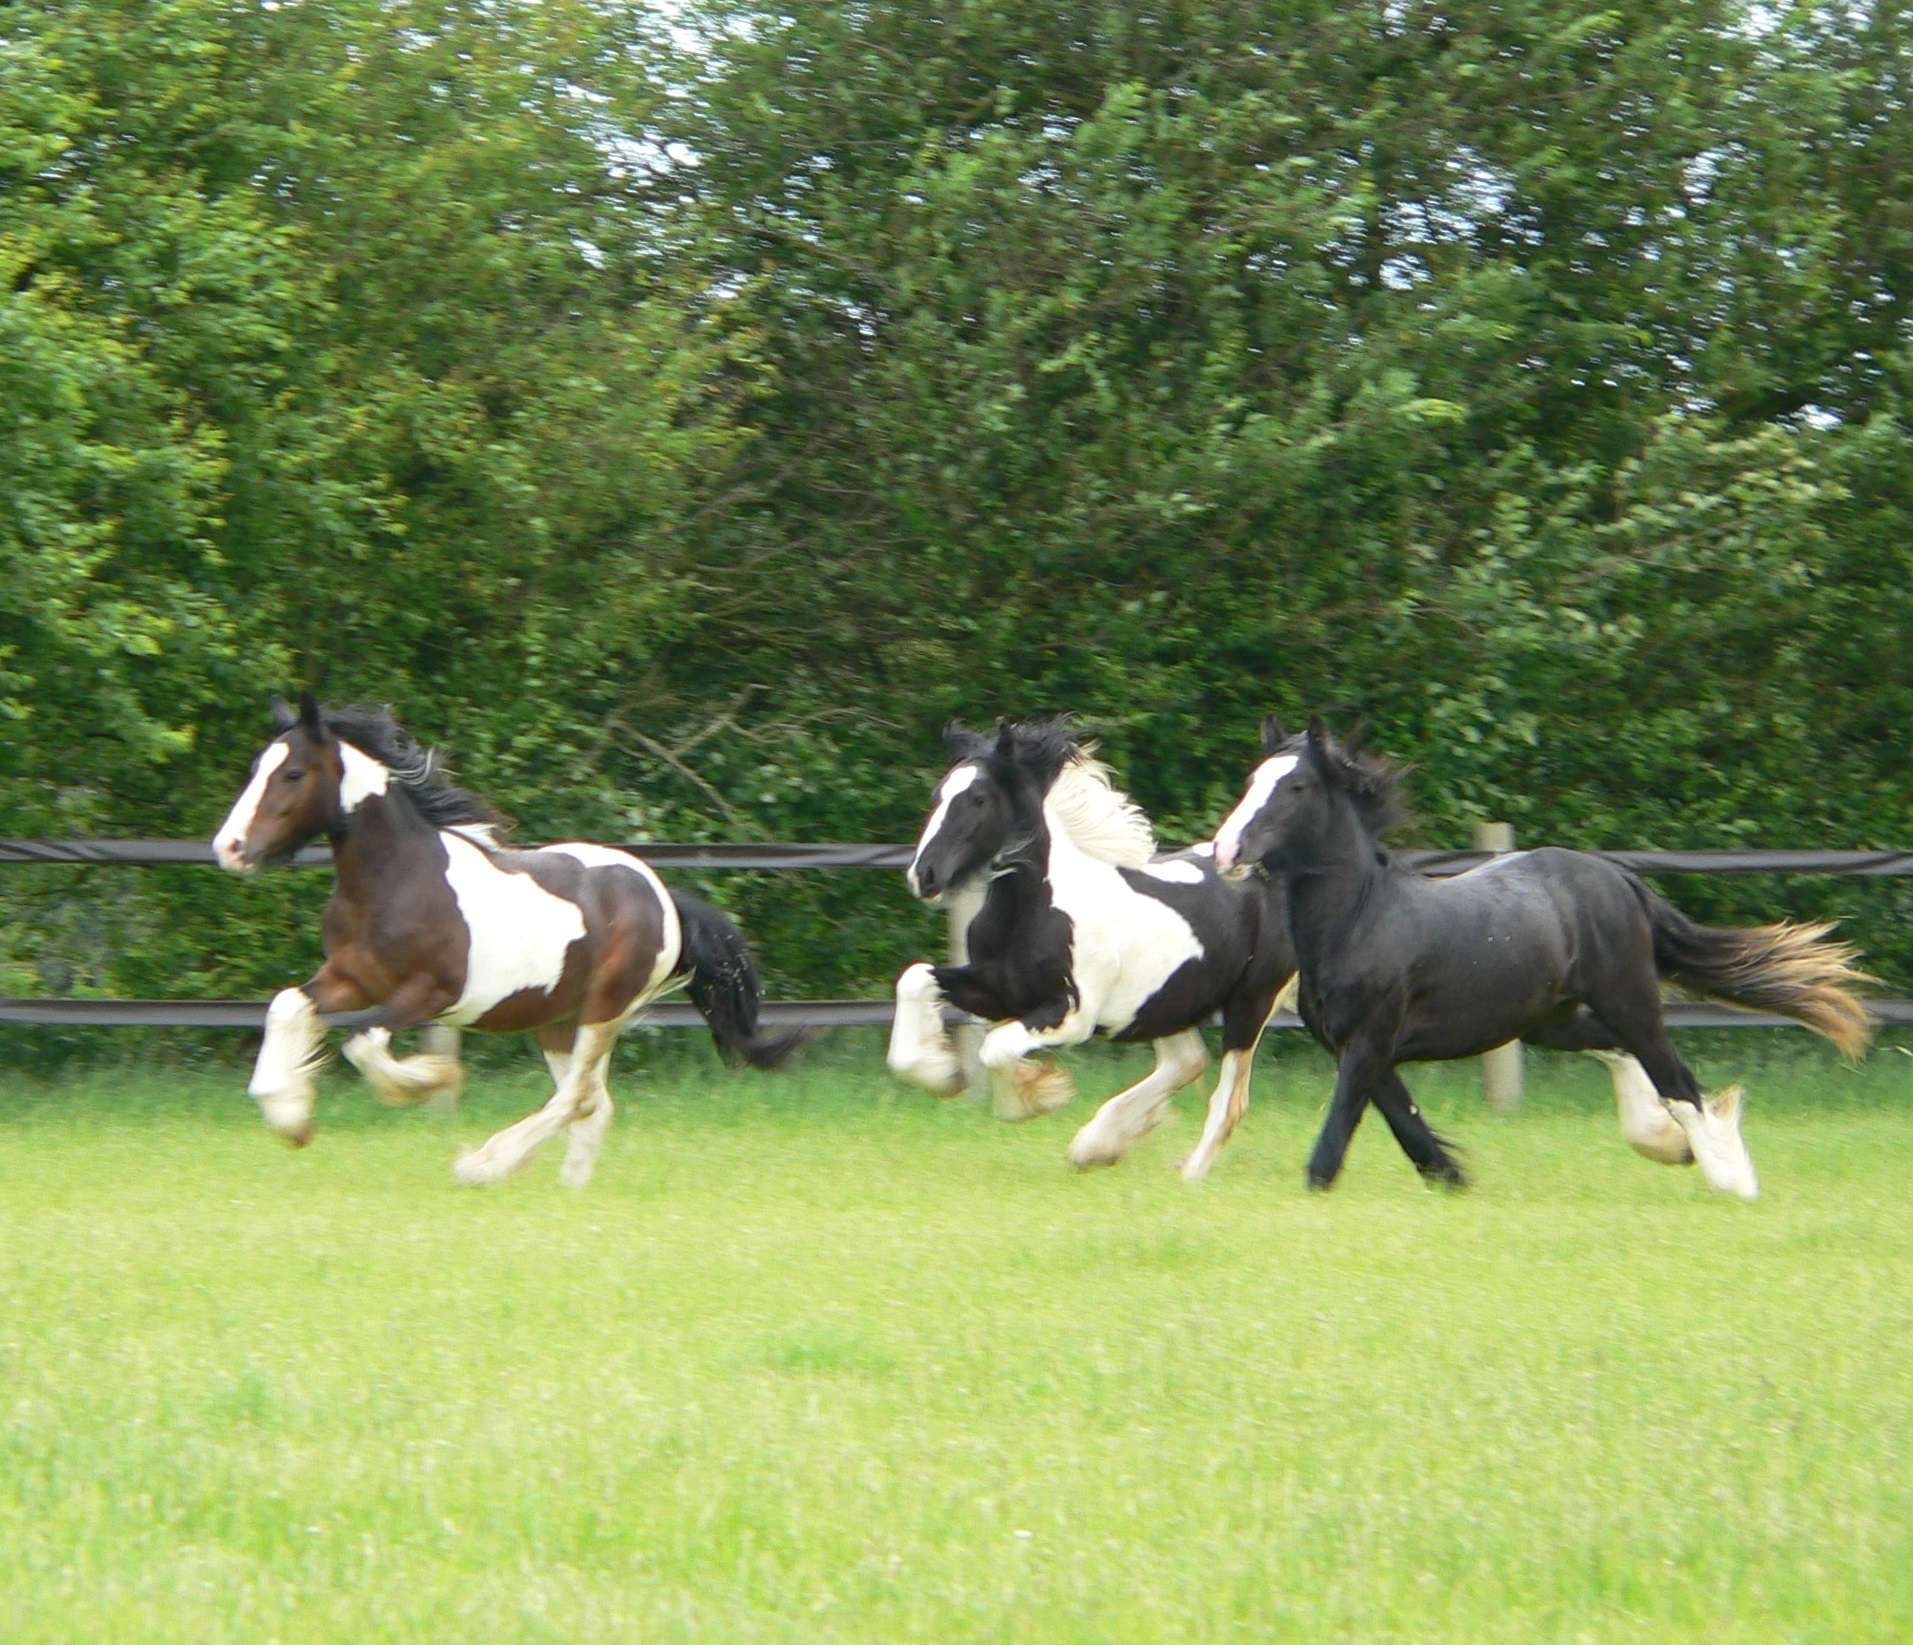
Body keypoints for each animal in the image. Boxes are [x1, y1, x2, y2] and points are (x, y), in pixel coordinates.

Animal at [211, 693, 800, 1187]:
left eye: (292, 773)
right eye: (255, 769)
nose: (229, 848)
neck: (396, 881)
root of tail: (663, 895)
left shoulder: (431, 992)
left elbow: (363, 1042)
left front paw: (432, 1078)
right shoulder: (350, 979)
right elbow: (288, 1007)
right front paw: (291, 1118)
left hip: (604, 1008)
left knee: (576, 1097)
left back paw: (484, 1165)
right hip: (557, 1019)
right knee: (593, 1103)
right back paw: (568, 1192)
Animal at [886, 717, 1297, 1179]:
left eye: (978, 798)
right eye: (938, 795)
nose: (924, 876)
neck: (1031, 912)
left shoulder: (1071, 1015)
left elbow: (996, 1048)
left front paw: (1036, 1097)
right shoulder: (995, 991)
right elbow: (914, 981)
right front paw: (943, 1074)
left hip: (1252, 1002)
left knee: (1230, 1099)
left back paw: (1188, 1174)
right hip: (1166, 1005)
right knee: (1187, 1062)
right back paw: (1098, 1146)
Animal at [1212, 716, 1874, 1199]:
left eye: (1295, 787)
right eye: (1250, 780)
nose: (1224, 850)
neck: (1361, 919)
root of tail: (1618, 877)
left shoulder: (1369, 1041)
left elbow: (1333, 1144)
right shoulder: (1356, 1046)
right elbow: (1407, 1122)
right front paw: (1455, 1180)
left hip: (1629, 999)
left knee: (1678, 1081)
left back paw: (1729, 1177)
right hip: (1548, 1019)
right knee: (1620, 1052)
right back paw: (1666, 1143)